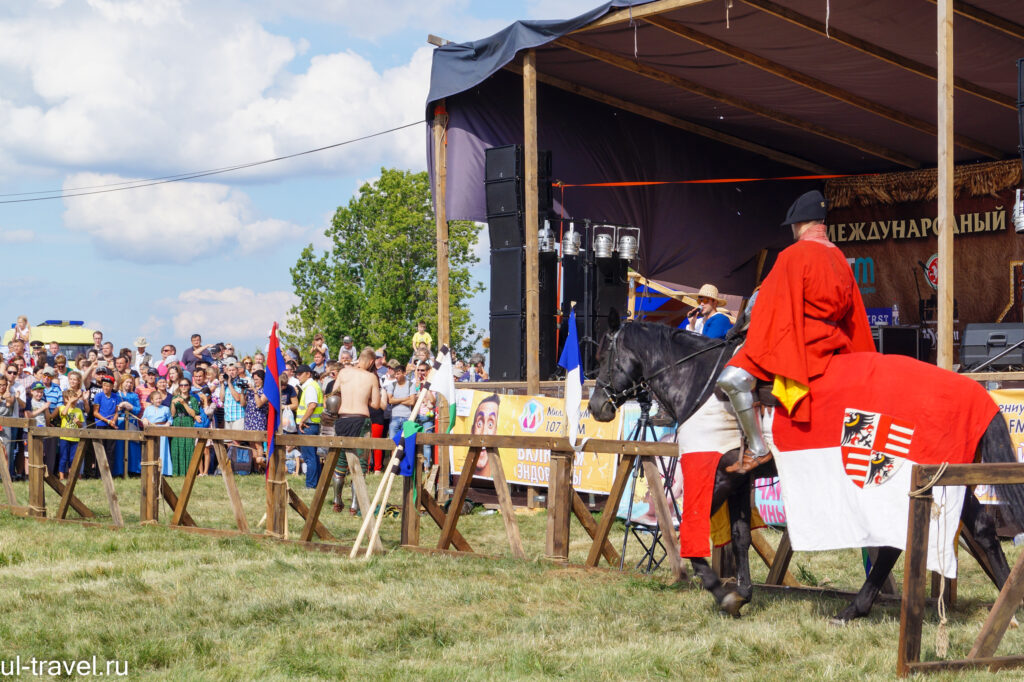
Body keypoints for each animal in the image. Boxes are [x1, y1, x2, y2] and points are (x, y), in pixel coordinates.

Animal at [589, 315, 1024, 618]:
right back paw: (1007, 602)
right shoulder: (740, 478)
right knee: (982, 529)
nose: (596, 407)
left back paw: (855, 609)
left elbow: (689, 527)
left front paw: (722, 591)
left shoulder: (719, 475)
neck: (700, 381)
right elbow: (741, 535)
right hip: (946, 478)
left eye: (604, 356)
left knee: (893, 544)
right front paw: (743, 592)